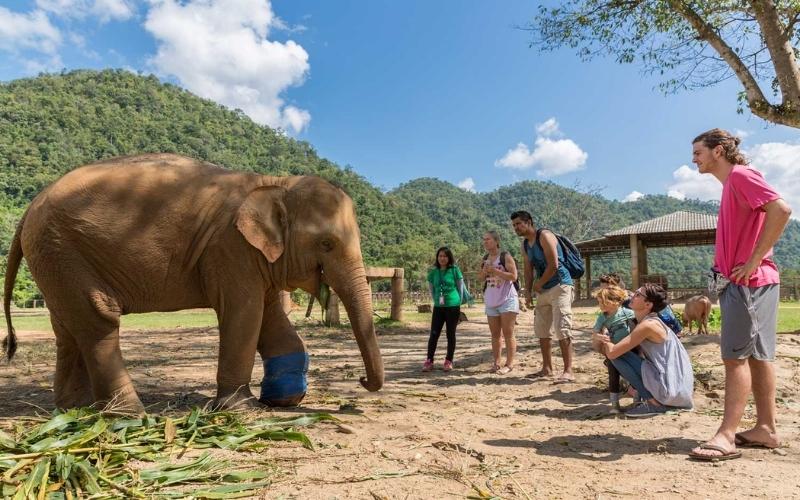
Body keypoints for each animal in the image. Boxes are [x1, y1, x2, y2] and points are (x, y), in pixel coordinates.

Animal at [2, 153, 384, 414]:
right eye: (327, 244)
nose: (361, 382)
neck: (276, 182)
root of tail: (29, 210)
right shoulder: (230, 248)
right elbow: (245, 314)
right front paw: (242, 410)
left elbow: (270, 315)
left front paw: (284, 399)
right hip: (62, 250)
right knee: (98, 320)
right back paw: (129, 416)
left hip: (54, 258)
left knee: (68, 328)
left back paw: (76, 411)